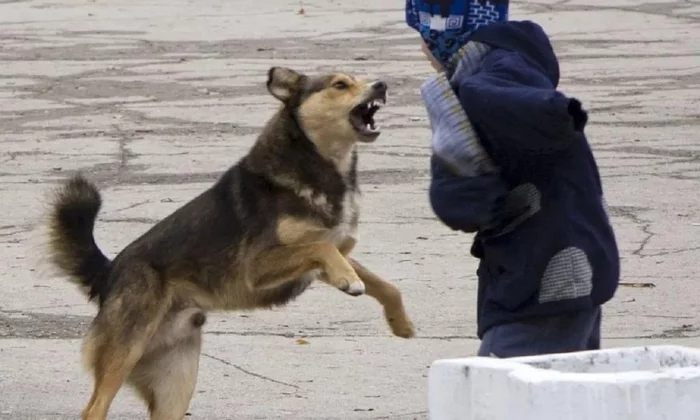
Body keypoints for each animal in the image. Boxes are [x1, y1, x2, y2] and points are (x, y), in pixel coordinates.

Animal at [46, 67, 416, 418]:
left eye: (361, 78)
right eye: (340, 85)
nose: (381, 85)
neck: (320, 166)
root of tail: (109, 273)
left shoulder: (330, 257)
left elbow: (386, 285)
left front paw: (401, 323)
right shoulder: (259, 266)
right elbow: (321, 248)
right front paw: (350, 283)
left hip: (175, 385)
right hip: (126, 349)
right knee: (94, 409)